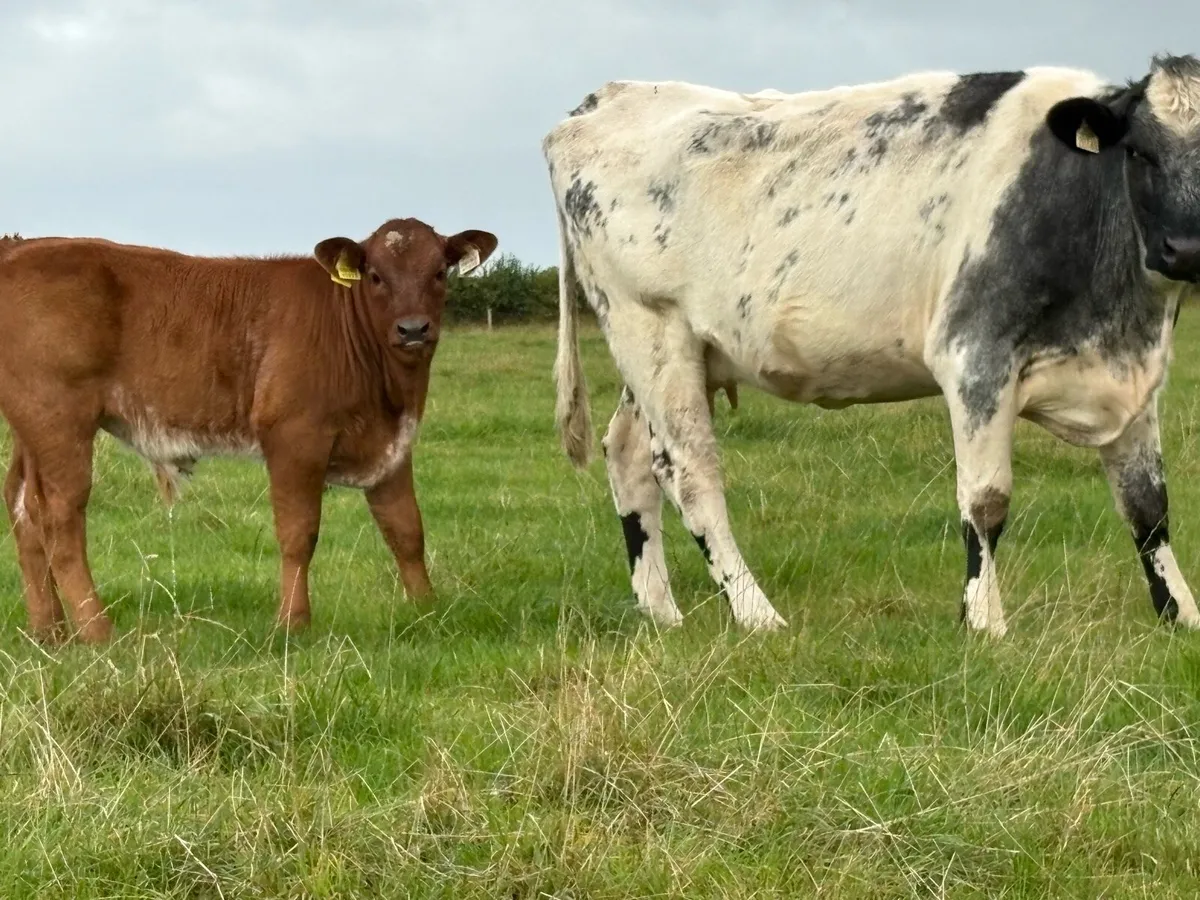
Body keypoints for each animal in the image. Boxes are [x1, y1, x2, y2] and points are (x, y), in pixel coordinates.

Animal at [0, 218, 497, 644]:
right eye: (374, 275)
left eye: (439, 271)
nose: (413, 329)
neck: (389, 391)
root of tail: (22, 248)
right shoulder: (295, 438)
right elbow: (299, 533)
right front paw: (293, 622)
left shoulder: (392, 444)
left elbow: (406, 530)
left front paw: (428, 611)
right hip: (60, 419)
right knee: (60, 515)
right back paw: (97, 631)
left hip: (32, 430)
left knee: (25, 507)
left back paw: (50, 632)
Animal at [544, 54, 1200, 637]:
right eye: (1137, 151)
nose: (1186, 250)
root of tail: (607, 98)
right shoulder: (975, 356)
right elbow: (985, 501)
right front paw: (983, 622)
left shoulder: (1135, 377)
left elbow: (1149, 506)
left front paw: (1181, 615)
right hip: (649, 327)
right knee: (688, 471)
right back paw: (756, 615)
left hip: (676, 353)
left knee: (628, 454)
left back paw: (661, 611)